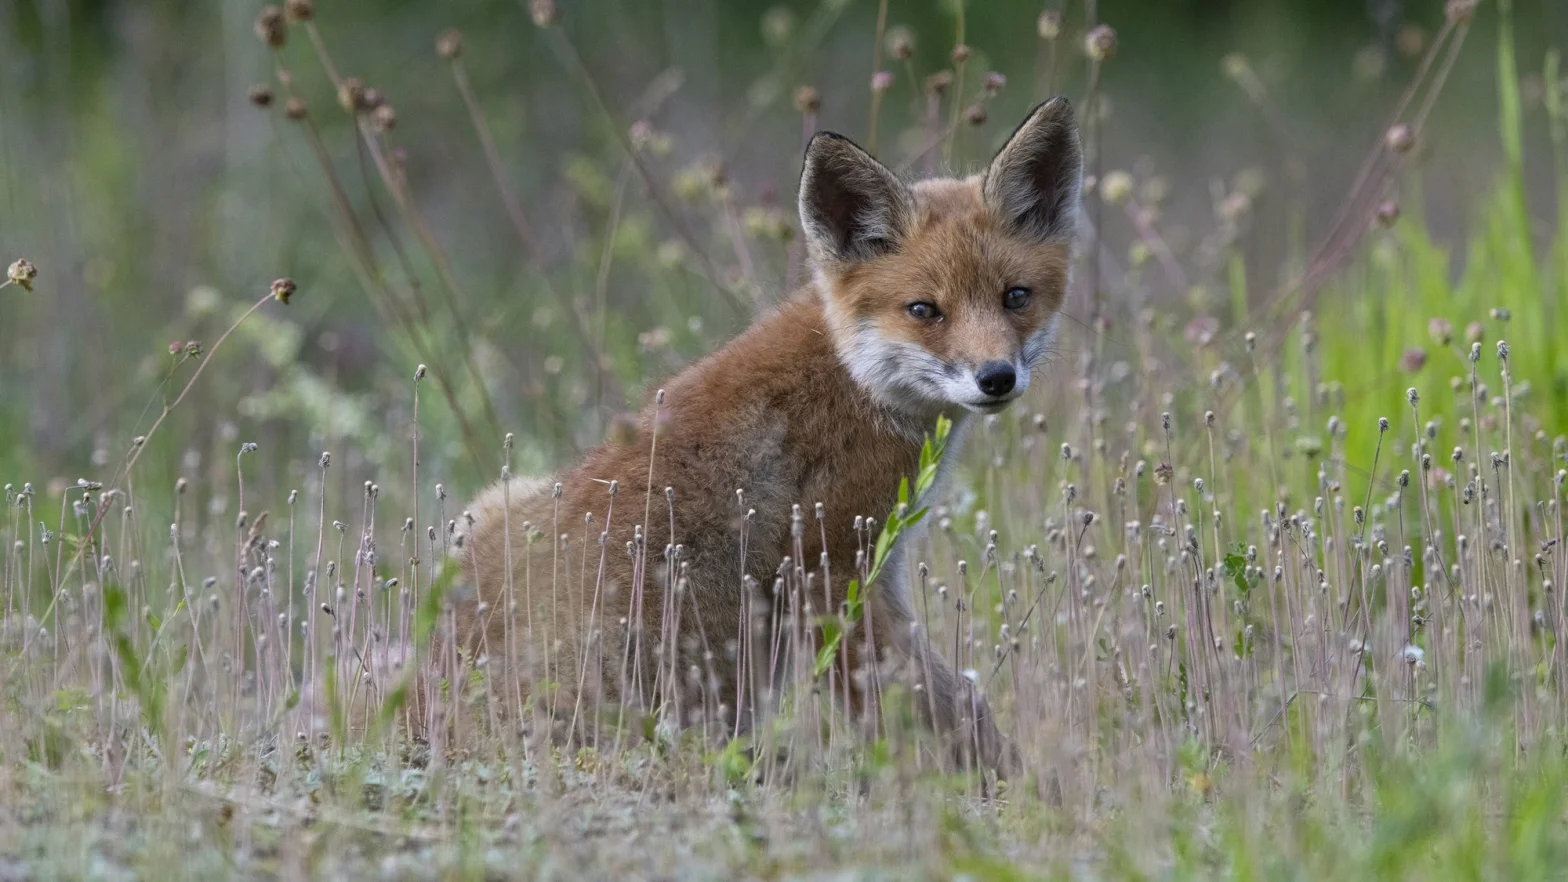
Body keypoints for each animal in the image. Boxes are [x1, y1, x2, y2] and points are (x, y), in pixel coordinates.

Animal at [435, 97, 1083, 776]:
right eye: (924, 311)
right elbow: (927, 707)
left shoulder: (871, 575)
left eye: (1015, 297)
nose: (997, 377)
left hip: (486, 510)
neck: (852, 377)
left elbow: (953, 700)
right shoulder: (830, 573)